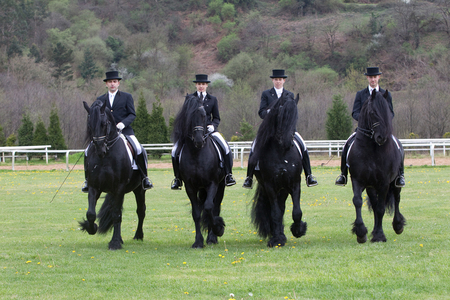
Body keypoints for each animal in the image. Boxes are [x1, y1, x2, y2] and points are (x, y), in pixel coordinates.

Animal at [79, 101, 146, 251]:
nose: (100, 150)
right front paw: (91, 228)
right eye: (89, 125)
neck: (106, 156)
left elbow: (116, 214)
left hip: (139, 189)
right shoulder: (93, 186)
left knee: (140, 211)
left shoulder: (119, 187)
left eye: (104, 123)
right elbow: (91, 213)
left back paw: (138, 235)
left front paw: (114, 243)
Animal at [174, 94, 227, 248]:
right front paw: (198, 241)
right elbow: (197, 213)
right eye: (189, 116)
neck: (196, 153)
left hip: (221, 186)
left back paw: (212, 237)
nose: (198, 141)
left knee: (215, 207)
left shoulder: (213, 184)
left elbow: (209, 208)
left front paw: (218, 229)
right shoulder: (190, 187)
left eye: (204, 116)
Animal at [251, 92, 308, 247]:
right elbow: (275, 213)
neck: (281, 151)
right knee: (276, 210)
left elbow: (296, 212)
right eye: (281, 114)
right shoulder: (270, 185)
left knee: (282, 208)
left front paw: (298, 230)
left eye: (296, 116)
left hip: (283, 189)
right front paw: (276, 239)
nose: (287, 142)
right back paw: (278, 234)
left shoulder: (294, 183)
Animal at [346, 89, 406, 244]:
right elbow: (358, 201)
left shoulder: (384, 183)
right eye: (373, 112)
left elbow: (380, 209)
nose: (381, 137)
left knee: (396, 199)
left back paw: (398, 225)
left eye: (387, 111)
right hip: (370, 186)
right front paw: (361, 232)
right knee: (373, 204)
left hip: (395, 182)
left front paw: (379, 235)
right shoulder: (358, 180)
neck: (371, 150)